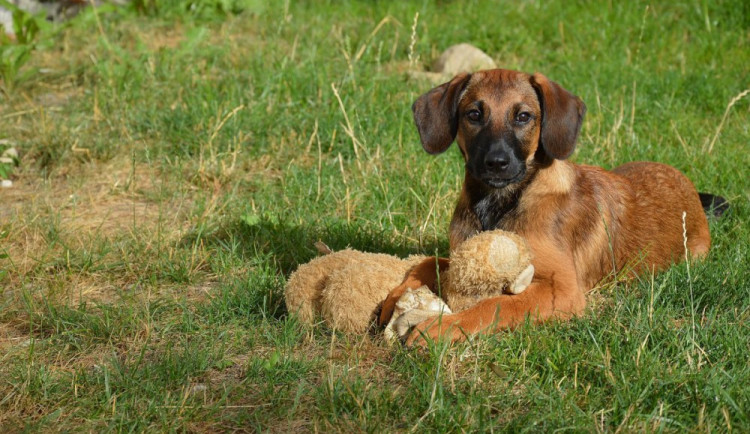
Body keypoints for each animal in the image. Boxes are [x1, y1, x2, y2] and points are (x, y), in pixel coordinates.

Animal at [378, 68, 724, 346]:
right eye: (474, 115)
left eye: (523, 116)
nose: (496, 163)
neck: (500, 203)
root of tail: (690, 188)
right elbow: (428, 261)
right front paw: (395, 298)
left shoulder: (564, 290)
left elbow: (497, 303)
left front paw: (441, 327)